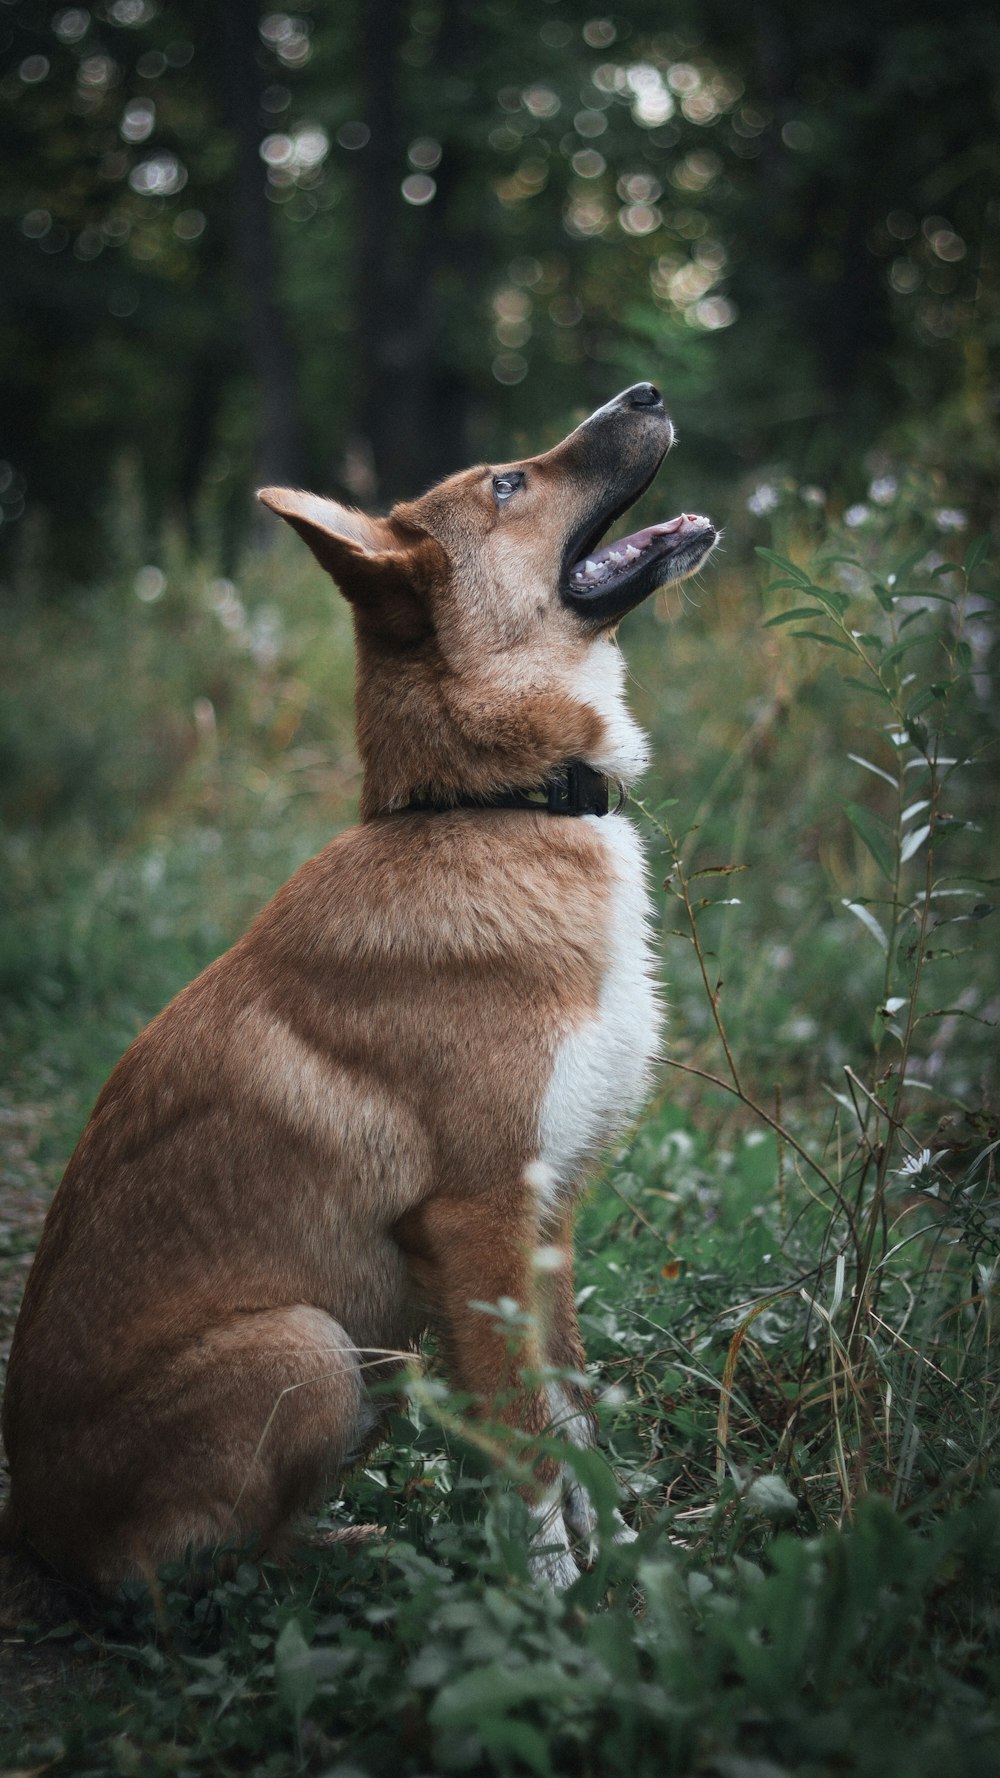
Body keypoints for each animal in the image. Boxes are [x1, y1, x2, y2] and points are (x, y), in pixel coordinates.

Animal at [1, 382, 715, 1593]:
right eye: (508, 483)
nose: (647, 392)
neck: (490, 805)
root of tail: (30, 1522)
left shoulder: (548, 1223)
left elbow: (575, 1414)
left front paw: (624, 1566)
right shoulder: (478, 1220)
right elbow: (527, 1442)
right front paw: (555, 1599)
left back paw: (357, 1543)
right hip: (314, 1342)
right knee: (198, 1572)